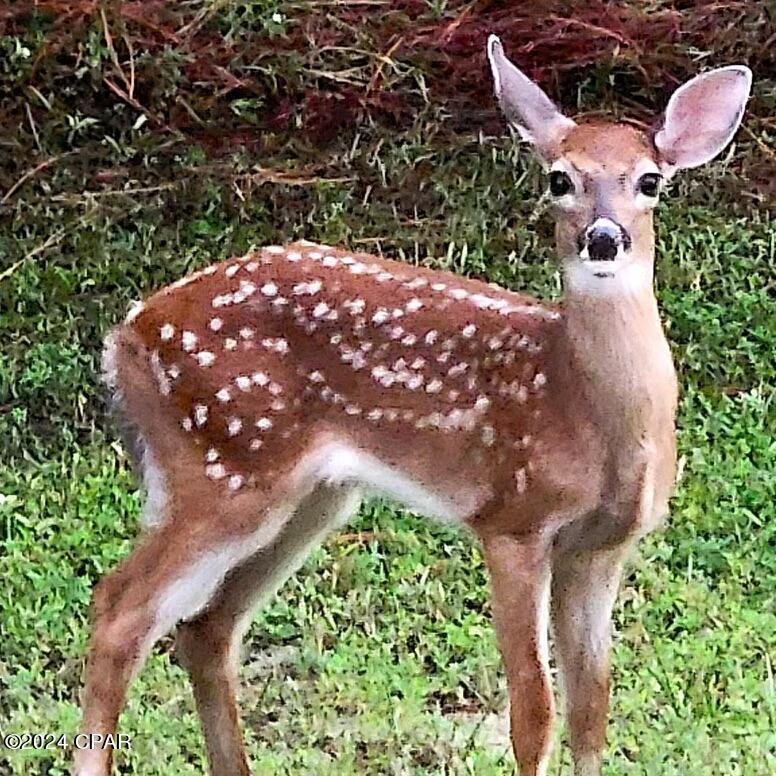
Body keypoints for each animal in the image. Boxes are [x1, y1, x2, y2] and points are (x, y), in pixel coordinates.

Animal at [76, 34, 748, 776]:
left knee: (205, 625)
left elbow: (592, 708)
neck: (578, 402)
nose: (603, 238)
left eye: (650, 182)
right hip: (222, 465)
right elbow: (533, 712)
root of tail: (125, 335)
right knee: (119, 610)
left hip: (311, 496)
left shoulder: (603, 547)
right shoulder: (510, 519)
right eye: (558, 179)